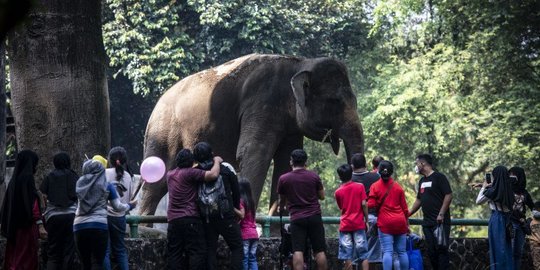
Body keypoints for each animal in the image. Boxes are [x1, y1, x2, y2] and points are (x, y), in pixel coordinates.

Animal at [139, 53, 364, 216]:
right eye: (335, 102)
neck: (299, 62)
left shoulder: (290, 125)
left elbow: (285, 162)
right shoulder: (262, 104)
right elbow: (253, 153)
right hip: (163, 131)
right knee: (156, 182)